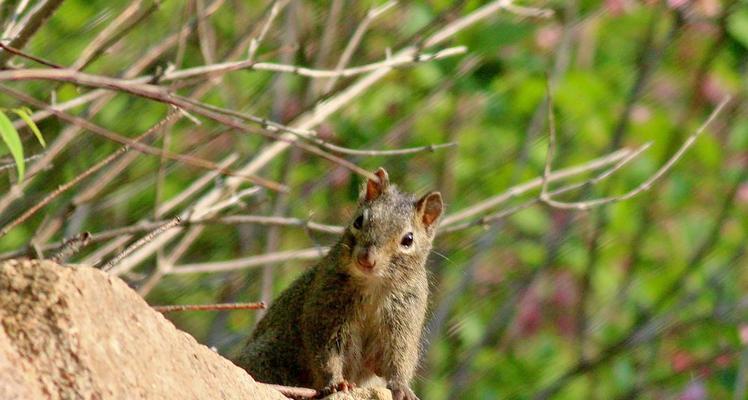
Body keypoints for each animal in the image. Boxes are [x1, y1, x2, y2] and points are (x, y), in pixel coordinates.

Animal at [237, 168, 442, 400]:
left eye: (408, 239)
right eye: (359, 220)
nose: (366, 259)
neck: (374, 285)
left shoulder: (404, 320)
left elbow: (400, 358)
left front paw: (401, 387)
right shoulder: (326, 314)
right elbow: (327, 355)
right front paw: (335, 383)